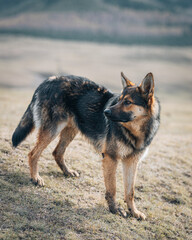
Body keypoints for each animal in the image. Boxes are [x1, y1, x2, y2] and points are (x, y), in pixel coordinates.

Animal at [12, 71, 160, 219]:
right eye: (118, 100)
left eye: (128, 102)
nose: (105, 112)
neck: (135, 132)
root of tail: (49, 80)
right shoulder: (111, 158)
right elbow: (112, 188)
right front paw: (114, 209)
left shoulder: (131, 162)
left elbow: (130, 192)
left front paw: (134, 212)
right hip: (53, 130)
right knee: (33, 154)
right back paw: (36, 178)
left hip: (71, 130)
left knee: (57, 152)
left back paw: (67, 172)